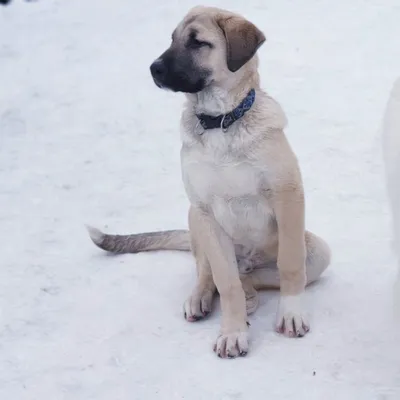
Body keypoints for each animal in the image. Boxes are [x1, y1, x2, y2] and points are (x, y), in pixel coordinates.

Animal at [87, 3, 332, 360]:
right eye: (172, 40)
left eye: (198, 42)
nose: (153, 69)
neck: (221, 122)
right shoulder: (206, 212)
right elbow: (225, 282)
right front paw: (232, 333)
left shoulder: (287, 195)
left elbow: (289, 264)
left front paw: (290, 313)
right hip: (195, 220)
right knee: (212, 273)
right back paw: (202, 298)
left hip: (317, 251)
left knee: (257, 275)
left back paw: (250, 294)